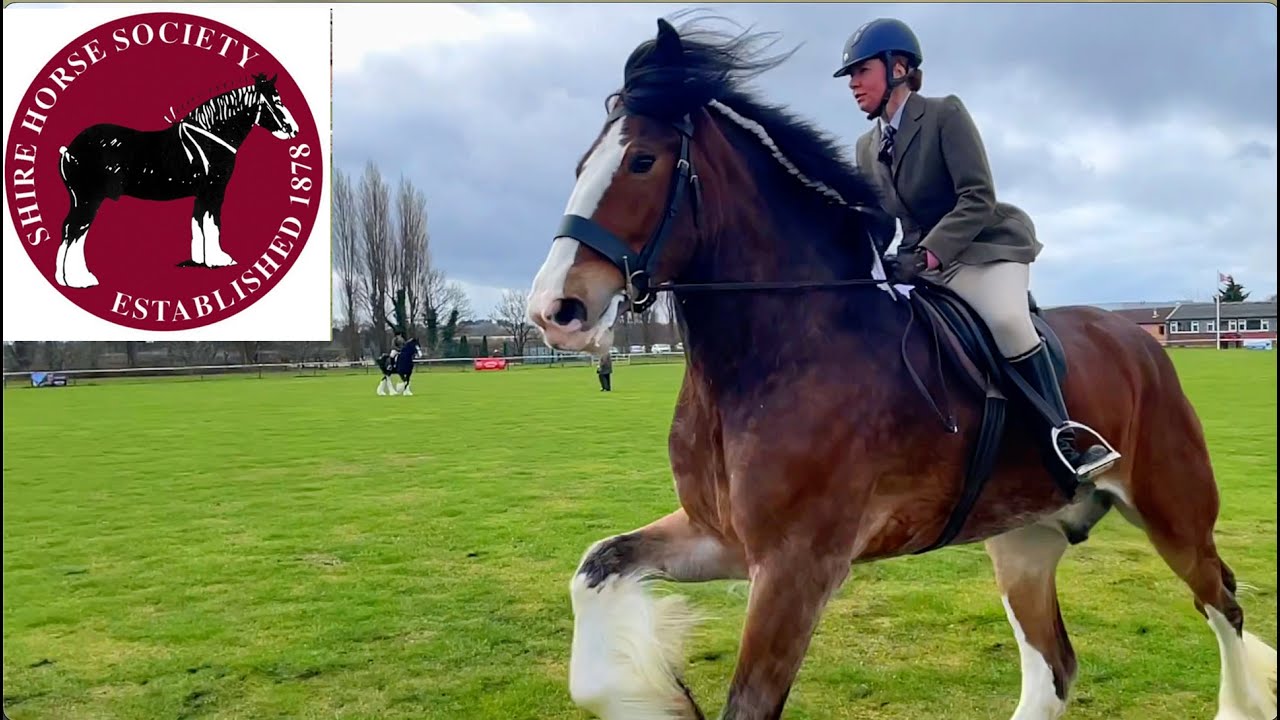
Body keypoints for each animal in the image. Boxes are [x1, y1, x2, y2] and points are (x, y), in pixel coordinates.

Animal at [54, 72, 300, 288]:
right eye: (276, 101)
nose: (294, 130)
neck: (211, 137)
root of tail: (70, 150)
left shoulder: (202, 194)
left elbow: (199, 222)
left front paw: (202, 260)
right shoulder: (214, 191)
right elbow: (213, 224)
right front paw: (219, 259)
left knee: (68, 231)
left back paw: (64, 278)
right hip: (88, 200)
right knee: (76, 232)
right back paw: (80, 279)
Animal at [524, 15, 1277, 720]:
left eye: (642, 161)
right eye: (580, 165)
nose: (553, 309)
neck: (776, 354)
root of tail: (1139, 341)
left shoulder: (798, 566)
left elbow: (749, 700)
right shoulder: (721, 539)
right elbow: (594, 571)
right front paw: (660, 695)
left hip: (1174, 513)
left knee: (1222, 602)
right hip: (1025, 538)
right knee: (1055, 665)